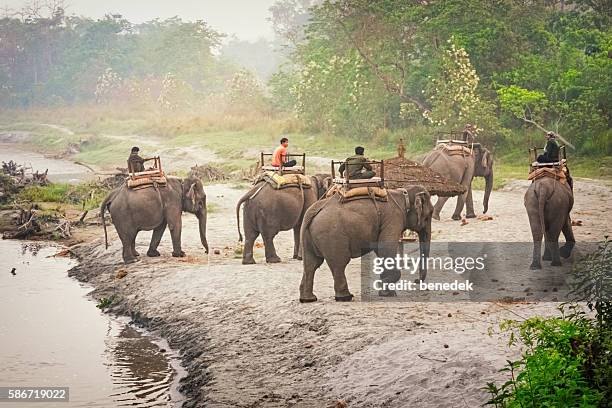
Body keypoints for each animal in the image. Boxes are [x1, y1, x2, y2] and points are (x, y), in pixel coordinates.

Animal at [298, 186, 432, 302]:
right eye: (429, 215)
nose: (416, 280)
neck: (404, 192)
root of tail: (313, 211)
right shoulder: (394, 218)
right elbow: (385, 248)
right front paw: (384, 291)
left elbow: (380, 250)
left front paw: (387, 291)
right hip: (332, 236)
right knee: (339, 263)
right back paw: (345, 297)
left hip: (308, 236)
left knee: (311, 264)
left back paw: (308, 299)